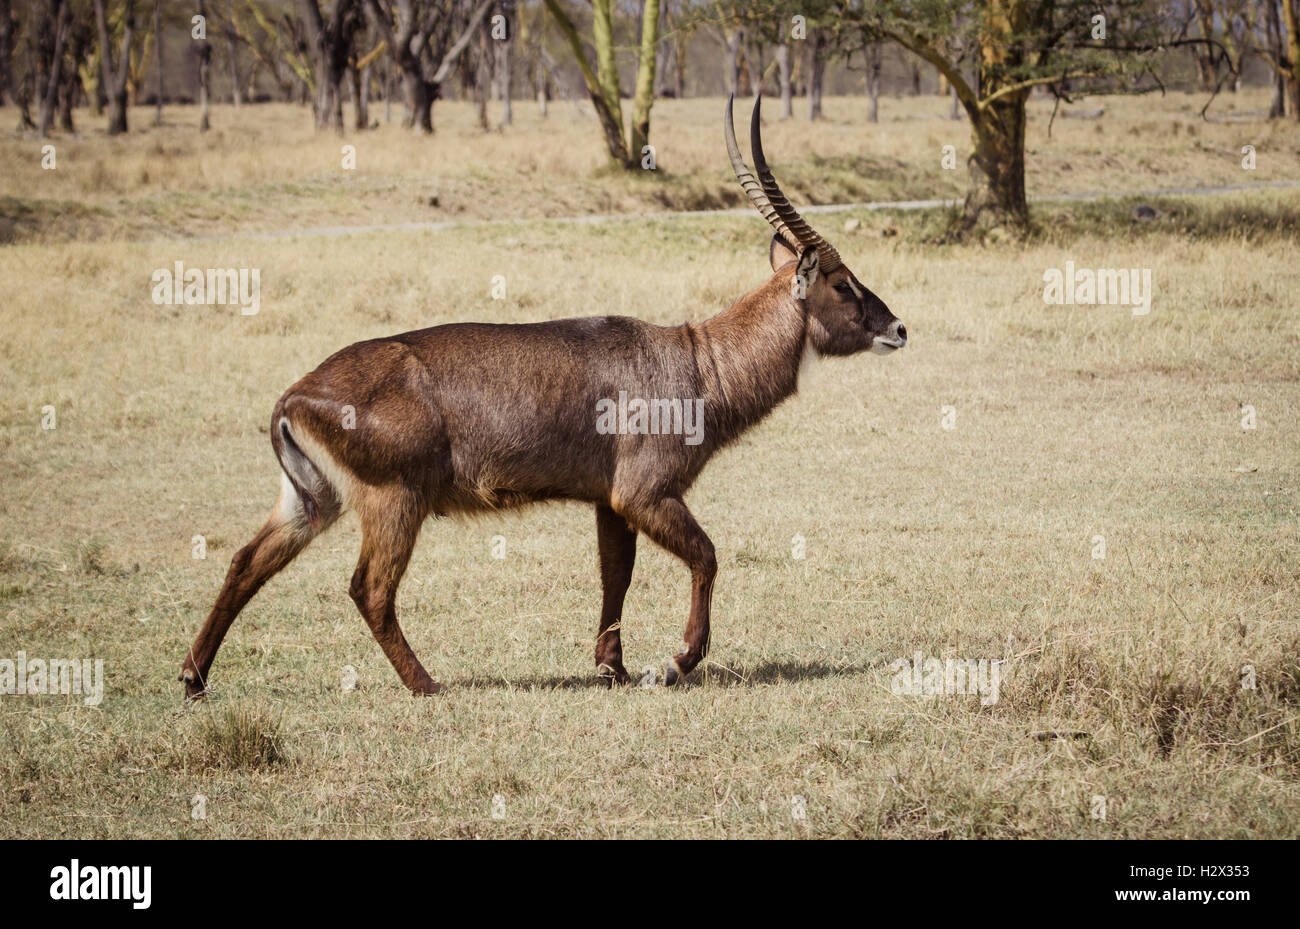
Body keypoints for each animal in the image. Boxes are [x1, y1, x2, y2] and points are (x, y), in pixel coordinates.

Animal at [180, 98, 904, 701]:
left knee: (246, 561)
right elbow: (707, 555)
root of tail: (295, 395)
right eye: (843, 283)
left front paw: (612, 667)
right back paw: (427, 685)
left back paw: (193, 678)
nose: (898, 328)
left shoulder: (610, 502)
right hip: (394, 499)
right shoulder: (646, 493)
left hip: (313, 499)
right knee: (371, 589)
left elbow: (617, 575)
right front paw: (676, 662)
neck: (699, 359)